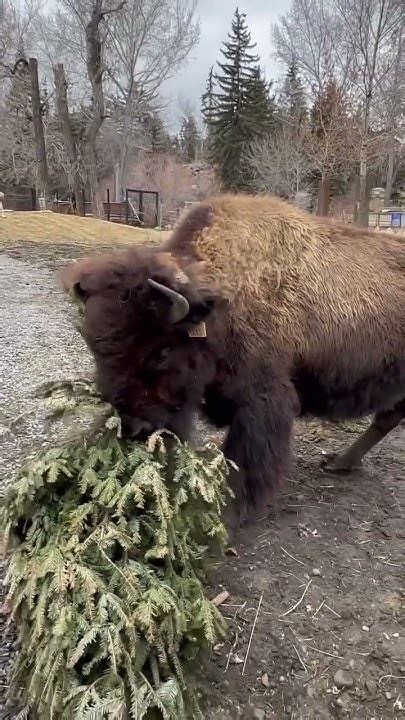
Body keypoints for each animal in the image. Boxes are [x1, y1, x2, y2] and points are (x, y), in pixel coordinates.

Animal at [61, 194, 405, 528]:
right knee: (387, 419)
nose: (134, 427)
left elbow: (244, 458)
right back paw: (340, 463)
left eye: (162, 351)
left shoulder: (262, 401)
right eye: (96, 350)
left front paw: (227, 515)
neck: (222, 300)